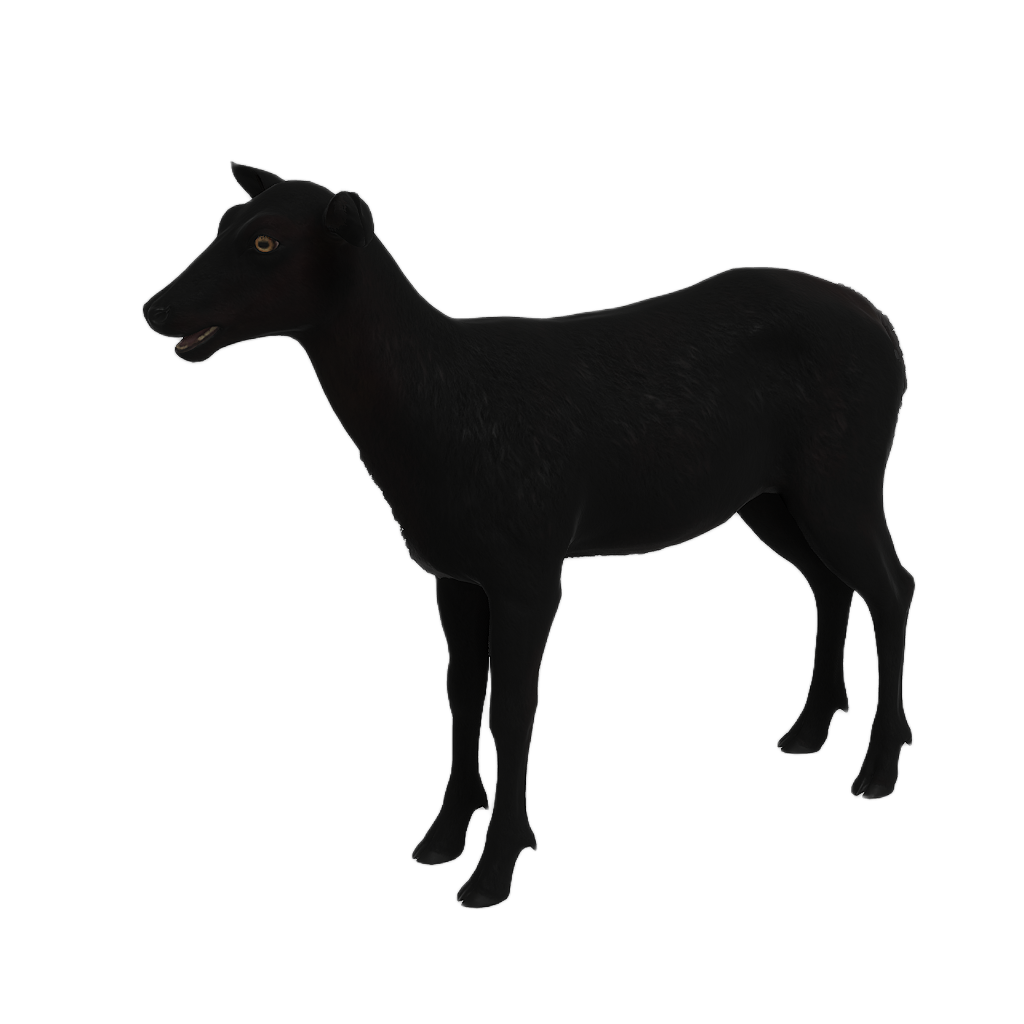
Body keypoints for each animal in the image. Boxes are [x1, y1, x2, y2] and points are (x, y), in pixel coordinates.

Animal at [142, 160, 916, 909]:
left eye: (265, 242)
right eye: (225, 221)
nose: (156, 308)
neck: (429, 427)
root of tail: (887, 330)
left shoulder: (530, 562)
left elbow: (514, 708)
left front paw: (496, 867)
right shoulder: (450, 567)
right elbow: (460, 692)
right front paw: (442, 835)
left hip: (844, 473)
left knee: (891, 584)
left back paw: (879, 766)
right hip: (769, 494)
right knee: (829, 582)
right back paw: (810, 729)